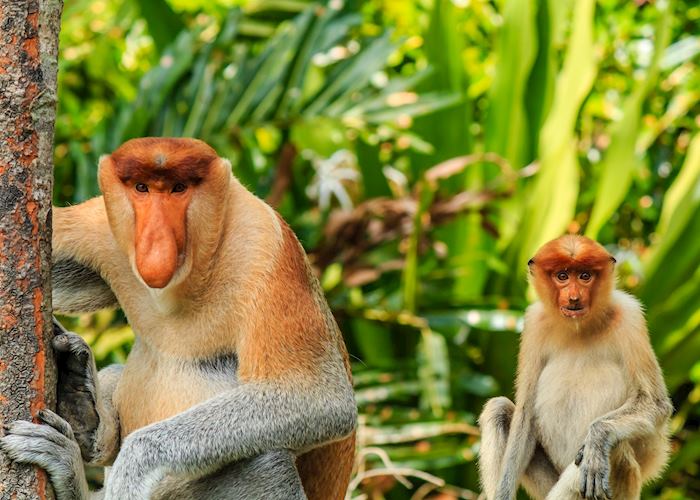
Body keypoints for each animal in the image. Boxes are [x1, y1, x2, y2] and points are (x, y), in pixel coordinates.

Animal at [0, 138, 358, 500]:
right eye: (141, 188)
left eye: (178, 189)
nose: (156, 241)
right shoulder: (100, 224)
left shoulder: (263, 246)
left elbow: (322, 399)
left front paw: (133, 464)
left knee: (269, 463)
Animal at [478, 235, 668, 500]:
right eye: (562, 276)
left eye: (585, 276)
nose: (574, 297)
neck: (579, 328)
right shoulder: (534, 323)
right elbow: (525, 416)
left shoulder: (629, 316)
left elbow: (655, 403)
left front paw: (597, 439)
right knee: (499, 409)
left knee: (616, 446)